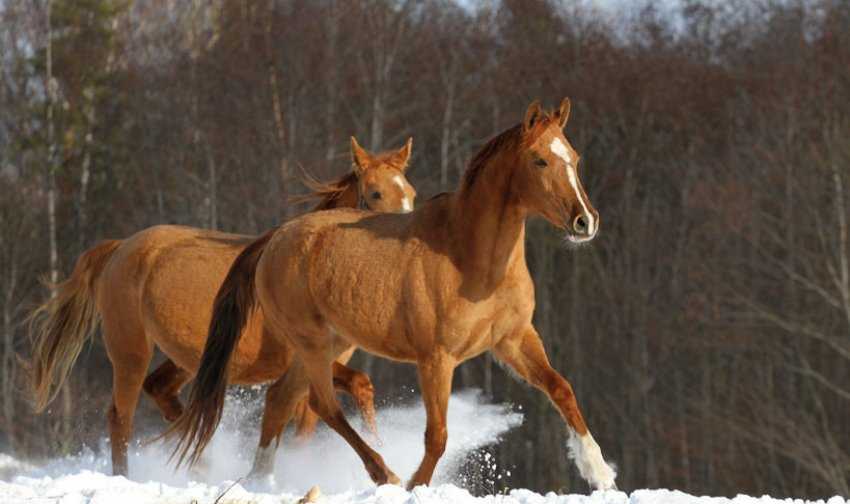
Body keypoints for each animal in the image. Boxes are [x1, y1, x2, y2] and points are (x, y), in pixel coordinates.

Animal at [31, 136, 416, 478]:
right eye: (375, 193)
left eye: (410, 194)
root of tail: (121, 247)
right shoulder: (306, 358)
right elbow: (344, 391)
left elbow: (337, 401)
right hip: (130, 352)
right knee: (120, 417)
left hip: (189, 358)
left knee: (160, 389)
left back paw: (202, 463)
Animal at [171, 99, 616, 492]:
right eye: (539, 160)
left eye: (574, 158)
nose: (585, 221)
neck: (470, 258)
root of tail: (276, 237)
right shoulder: (437, 358)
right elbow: (437, 435)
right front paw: (416, 485)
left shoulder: (513, 340)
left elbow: (561, 388)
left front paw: (600, 474)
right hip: (313, 345)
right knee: (322, 405)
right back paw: (384, 473)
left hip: (327, 344)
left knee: (281, 399)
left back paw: (261, 480)